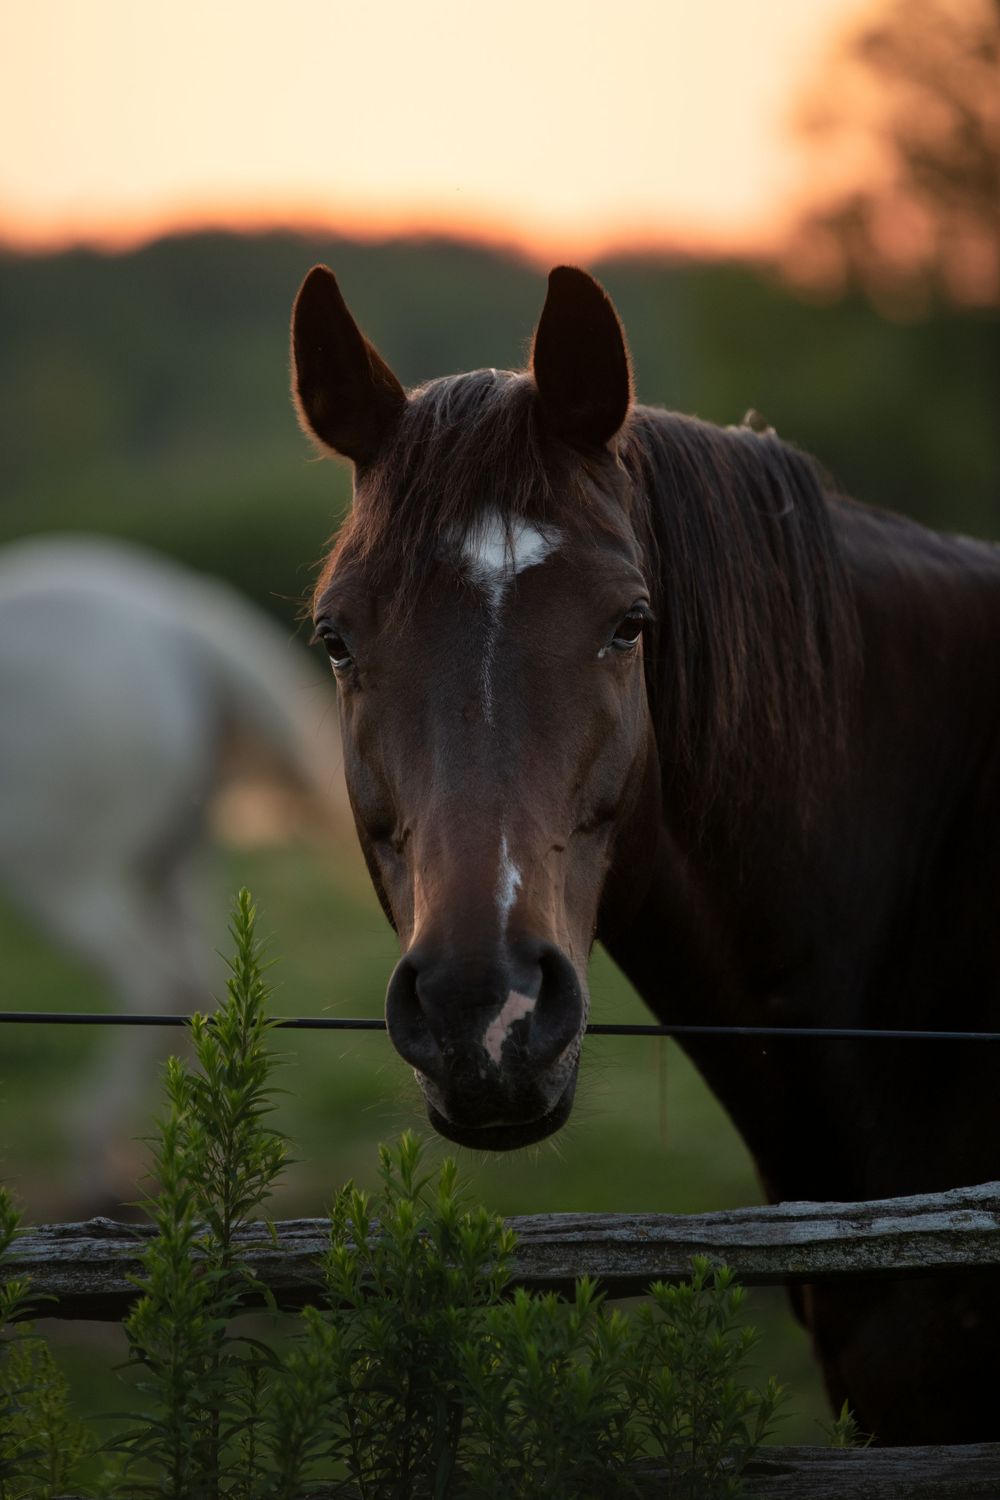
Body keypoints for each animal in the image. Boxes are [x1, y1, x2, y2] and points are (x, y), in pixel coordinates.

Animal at [0, 534, 346, 1215]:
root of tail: (176, 623)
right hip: (171, 866)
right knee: (198, 991)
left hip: (62, 876)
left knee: (153, 983)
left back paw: (97, 1161)